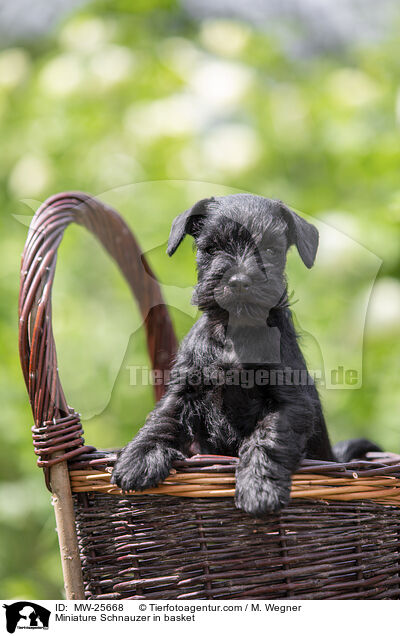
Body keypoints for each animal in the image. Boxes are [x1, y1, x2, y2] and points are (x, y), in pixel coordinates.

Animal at [111, 194, 378, 516]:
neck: (236, 333)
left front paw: (258, 489)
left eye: (270, 249)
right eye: (211, 248)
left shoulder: (290, 403)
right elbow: (163, 419)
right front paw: (138, 458)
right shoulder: (185, 389)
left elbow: (266, 439)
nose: (238, 281)